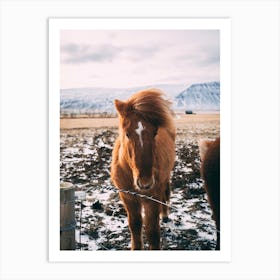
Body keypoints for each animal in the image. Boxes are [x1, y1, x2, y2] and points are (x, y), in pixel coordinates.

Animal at [111, 89, 175, 249]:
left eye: (155, 132)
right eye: (127, 134)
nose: (145, 183)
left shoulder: (152, 199)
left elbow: (152, 232)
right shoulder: (128, 197)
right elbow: (135, 225)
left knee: (165, 193)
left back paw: (165, 214)